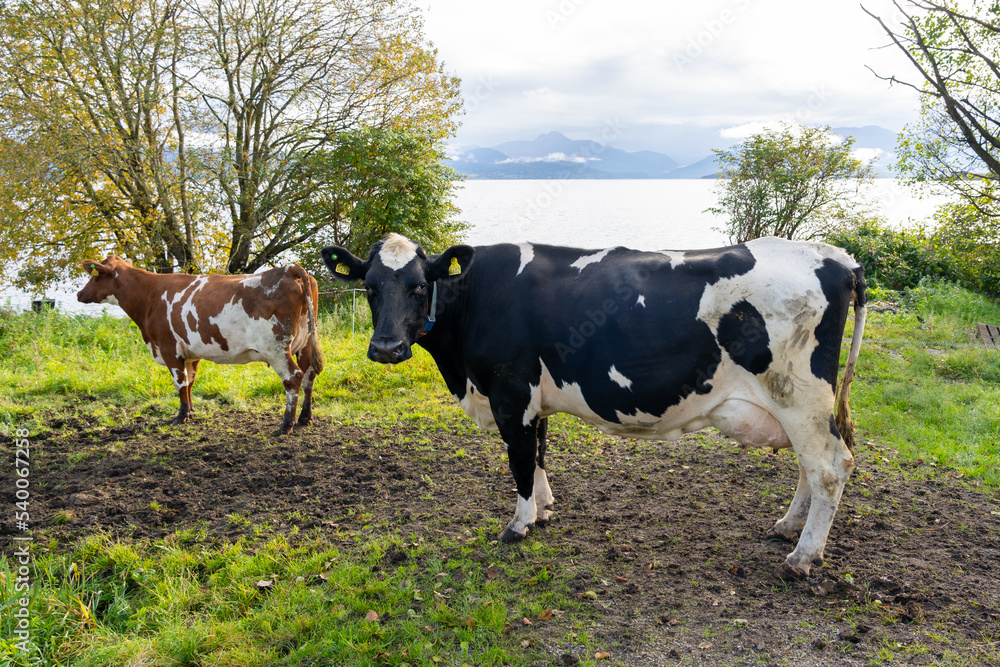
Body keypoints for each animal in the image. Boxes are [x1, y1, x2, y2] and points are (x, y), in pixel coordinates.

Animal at [81, 256, 326, 434]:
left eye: (94, 277)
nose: (79, 293)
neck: (150, 296)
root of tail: (290, 269)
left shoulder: (169, 348)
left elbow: (180, 383)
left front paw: (180, 417)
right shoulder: (191, 352)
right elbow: (190, 382)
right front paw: (190, 413)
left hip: (275, 348)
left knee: (293, 377)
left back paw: (286, 425)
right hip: (305, 344)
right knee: (308, 376)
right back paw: (305, 418)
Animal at [326, 235, 868, 580]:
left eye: (419, 285)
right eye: (370, 288)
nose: (386, 347)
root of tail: (833, 255)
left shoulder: (510, 394)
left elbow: (519, 460)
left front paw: (519, 524)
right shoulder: (534, 397)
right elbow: (540, 453)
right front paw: (544, 509)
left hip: (798, 392)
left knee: (830, 467)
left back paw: (803, 556)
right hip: (797, 403)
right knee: (810, 466)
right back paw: (788, 528)